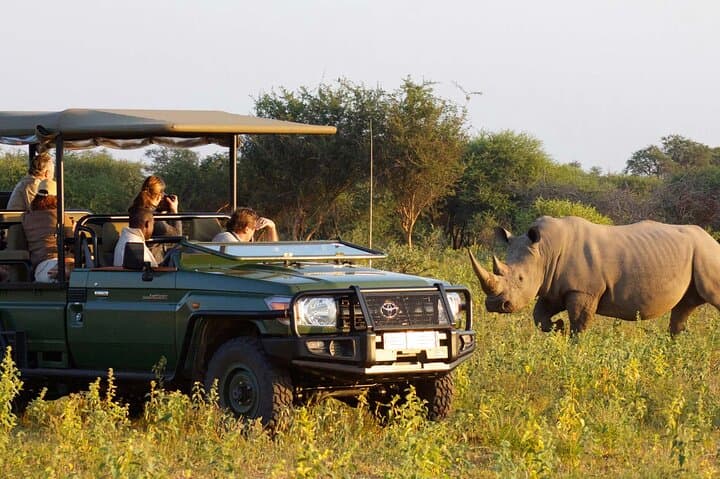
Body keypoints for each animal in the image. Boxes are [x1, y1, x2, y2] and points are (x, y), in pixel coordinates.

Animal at [469, 215, 720, 335]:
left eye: (520, 279)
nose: (495, 305)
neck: (545, 251)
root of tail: (711, 239)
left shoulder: (583, 290)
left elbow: (579, 324)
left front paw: (573, 348)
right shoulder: (553, 287)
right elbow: (539, 317)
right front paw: (557, 327)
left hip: (708, 253)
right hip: (697, 256)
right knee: (684, 307)